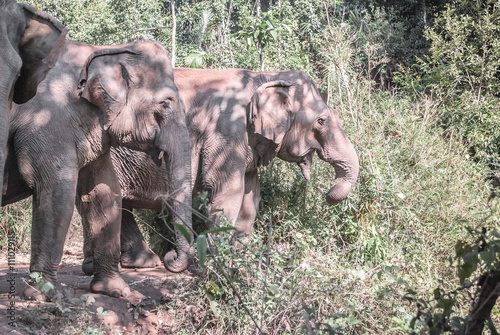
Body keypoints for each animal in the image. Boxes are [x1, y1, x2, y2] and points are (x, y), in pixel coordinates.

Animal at [1, 40, 193, 300]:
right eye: (165, 104)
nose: (171, 258)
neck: (101, 50)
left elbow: (103, 193)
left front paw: (115, 290)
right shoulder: (47, 123)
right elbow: (56, 192)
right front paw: (43, 296)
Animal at [80, 67, 358, 272]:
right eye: (321, 121)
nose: (327, 194)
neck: (265, 76)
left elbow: (250, 196)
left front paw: (242, 262)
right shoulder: (226, 131)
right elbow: (228, 193)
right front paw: (217, 267)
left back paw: (139, 263)